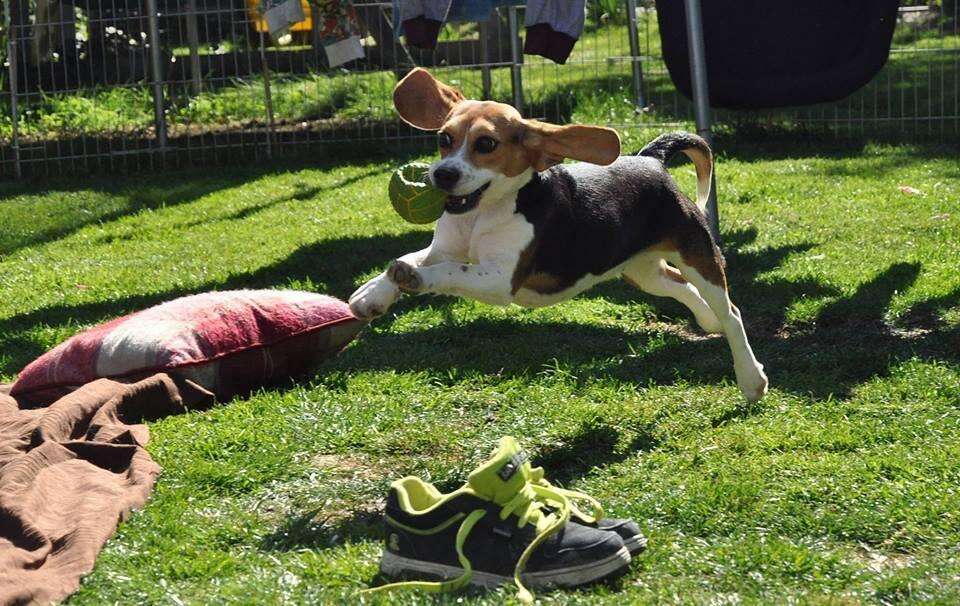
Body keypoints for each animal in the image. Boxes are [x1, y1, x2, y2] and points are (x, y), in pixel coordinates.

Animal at [348, 67, 768, 404]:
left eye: (486, 144)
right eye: (444, 139)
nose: (442, 175)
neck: (482, 213)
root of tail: (650, 159)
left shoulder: (500, 279)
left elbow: (449, 272)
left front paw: (414, 278)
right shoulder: (445, 247)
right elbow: (411, 260)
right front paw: (372, 294)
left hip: (698, 253)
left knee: (731, 312)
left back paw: (751, 378)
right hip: (643, 271)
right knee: (683, 286)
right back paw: (707, 321)